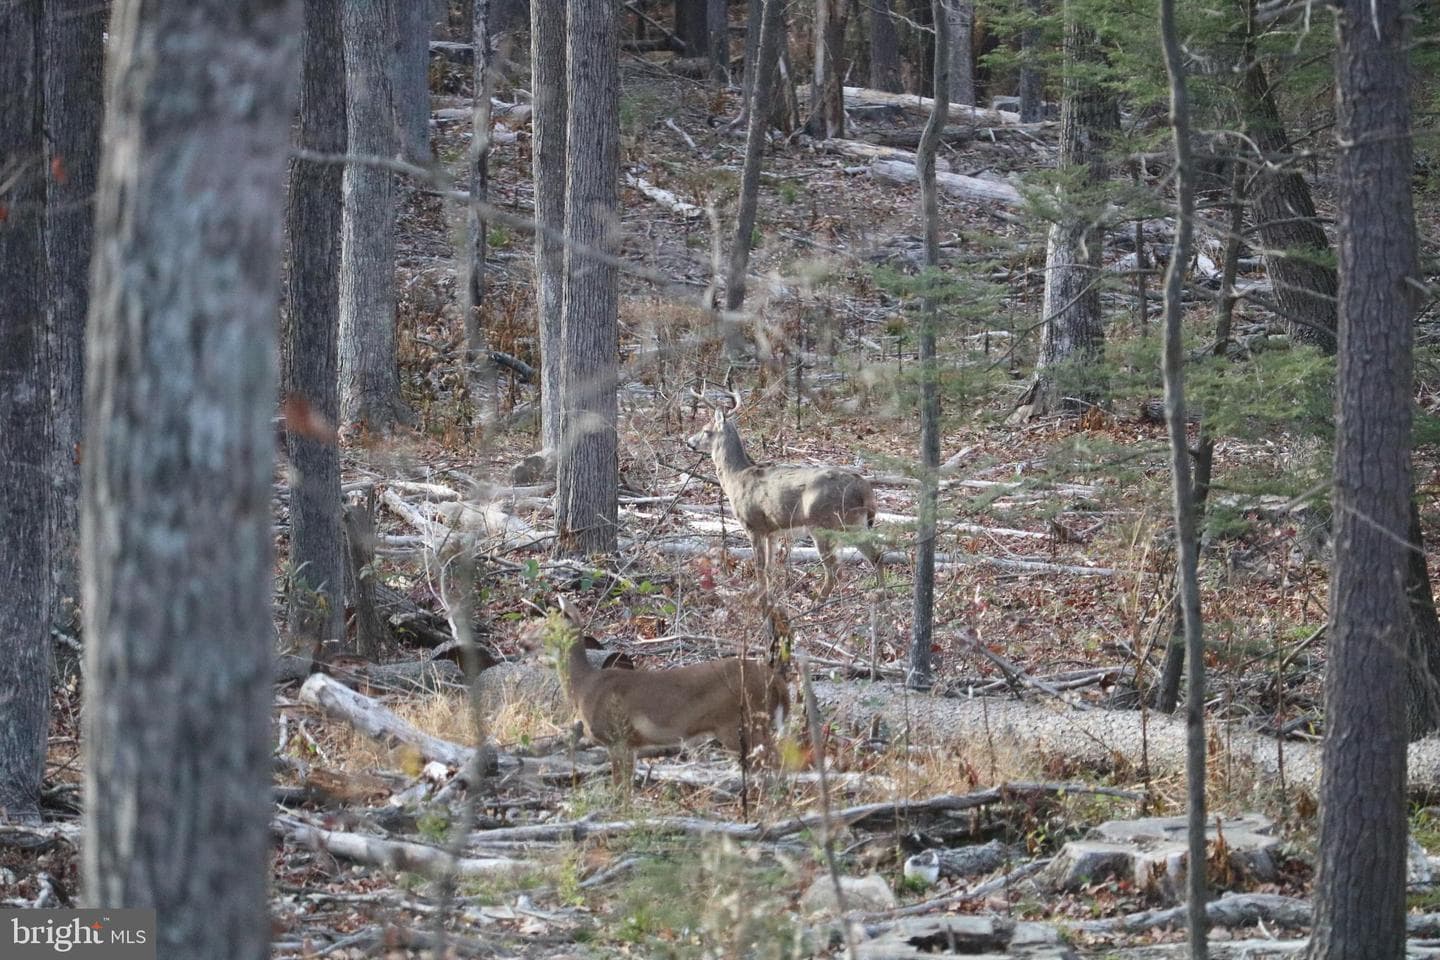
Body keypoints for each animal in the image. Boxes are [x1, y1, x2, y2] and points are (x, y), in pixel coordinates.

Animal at [542, 600, 790, 789]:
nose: (529, 645)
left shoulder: (617, 737)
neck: (583, 688)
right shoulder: (631, 744)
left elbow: (620, 789)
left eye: (545, 627)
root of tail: (776, 680)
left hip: (739, 722)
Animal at [686, 387, 882, 599]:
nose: (689, 442)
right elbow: (770, 567)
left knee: (835, 571)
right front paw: (770, 596)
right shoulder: (772, 531)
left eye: (706, 430)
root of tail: (864, 489)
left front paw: (759, 598)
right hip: (856, 523)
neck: (735, 477)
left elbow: (760, 567)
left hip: (823, 522)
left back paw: (818, 601)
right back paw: (882, 595)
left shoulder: (753, 524)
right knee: (876, 556)